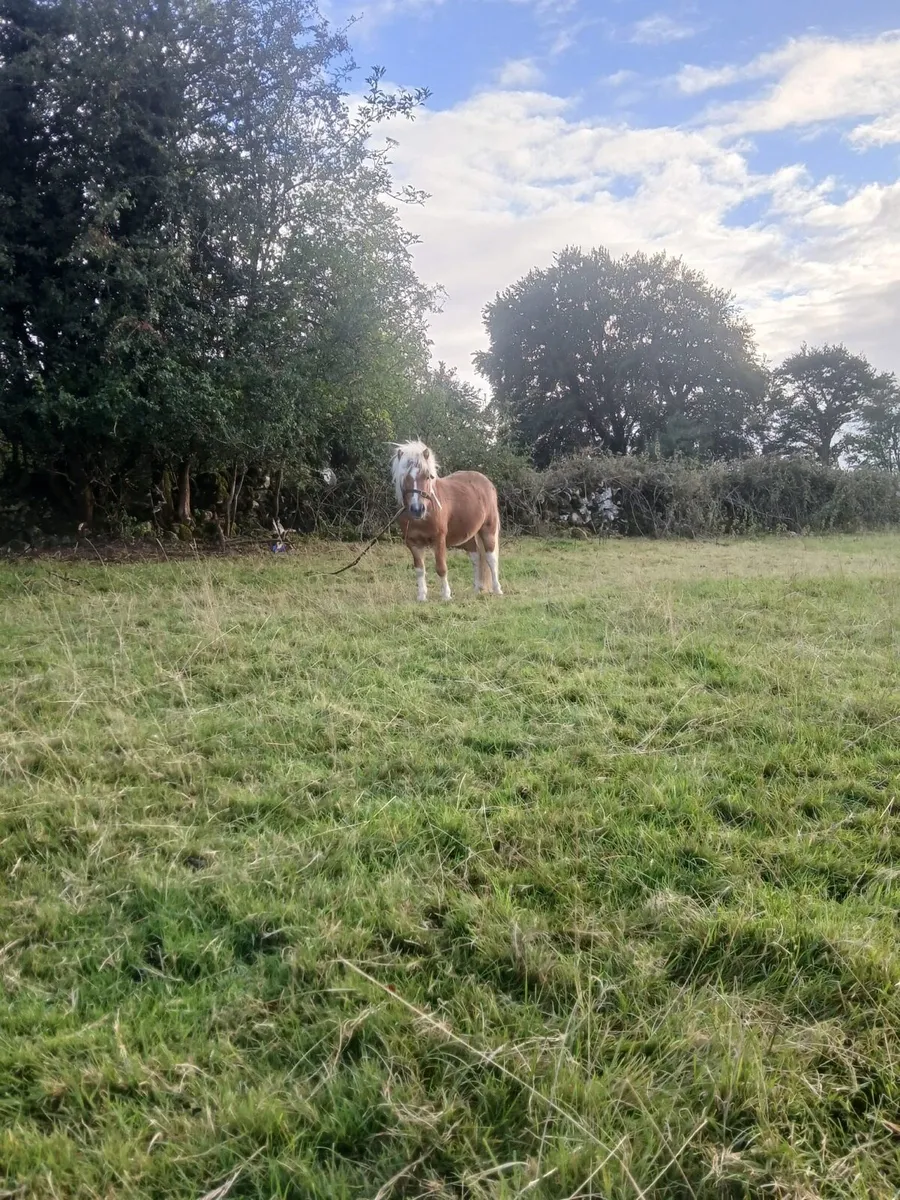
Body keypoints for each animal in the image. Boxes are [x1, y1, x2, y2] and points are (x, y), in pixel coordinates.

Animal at [391, 440, 503, 602]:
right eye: (404, 477)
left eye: (427, 476)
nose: (417, 509)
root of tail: (487, 482)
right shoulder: (413, 543)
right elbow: (419, 570)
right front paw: (421, 596)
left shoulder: (439, 539)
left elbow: (441, 568)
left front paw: (446, 595)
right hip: (469, 535)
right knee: (476, 558)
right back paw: (477, 589)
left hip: (488, 529)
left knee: (491, 558)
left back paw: (497, 589)